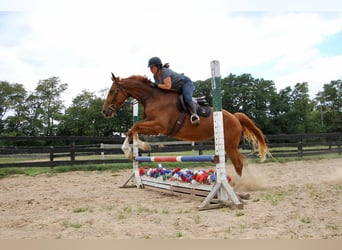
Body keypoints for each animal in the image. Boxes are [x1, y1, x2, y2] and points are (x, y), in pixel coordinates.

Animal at [101, 73, 270, 177]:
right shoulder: (153, 127)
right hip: (229, 146)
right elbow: (132, 129)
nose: (104, 111)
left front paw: (137, 147)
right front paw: (133, 150)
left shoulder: (159, 126)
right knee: (243, 160)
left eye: (112, 91)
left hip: (228, 145)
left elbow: (134, 128)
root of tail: (234, 117)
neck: (152, 97)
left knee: (238, 163)